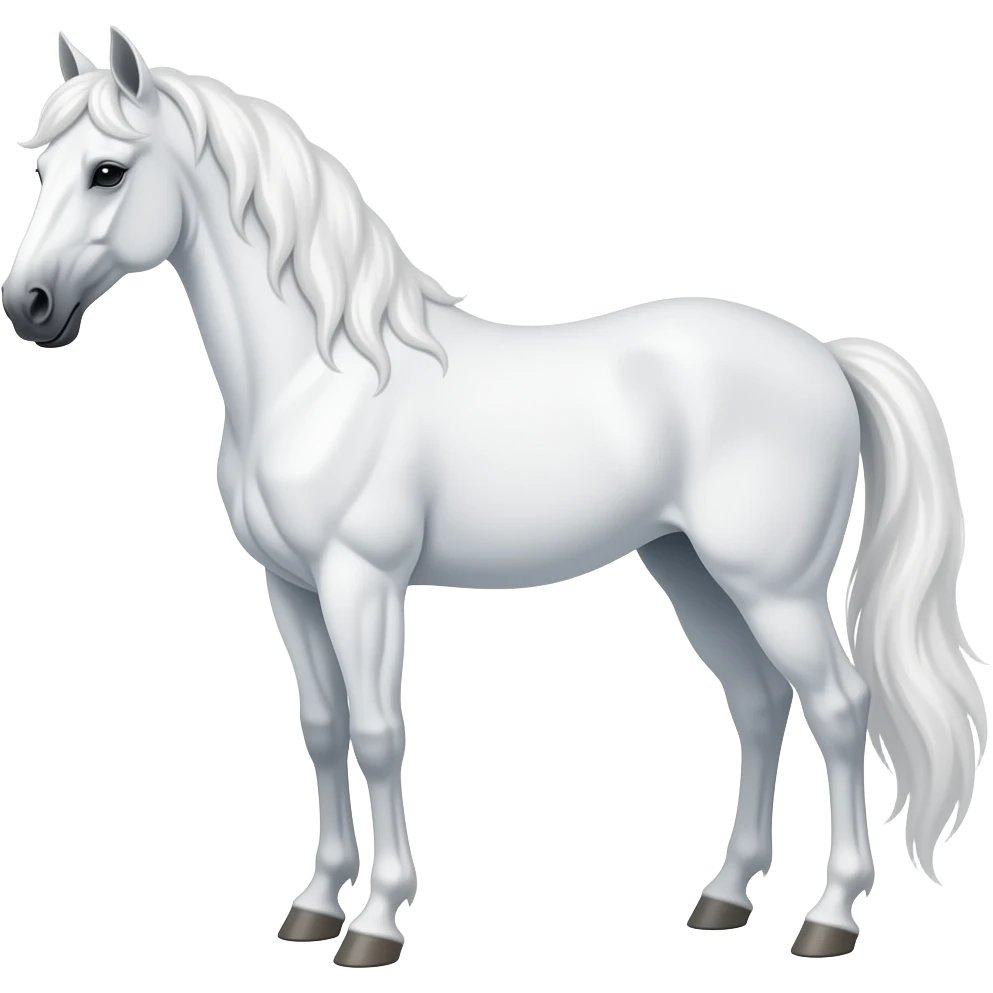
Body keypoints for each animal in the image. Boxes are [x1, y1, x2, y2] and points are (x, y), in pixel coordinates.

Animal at [4, 26, 988, 966]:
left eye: (107, 170)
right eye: (42, 168)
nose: (29, 305)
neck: (320, 378)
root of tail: (825, 354)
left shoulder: (362, 583)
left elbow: (379, 732)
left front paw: (376, 923)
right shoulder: (290, 588)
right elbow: (321, 728)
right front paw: (313, 907)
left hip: (772, 586)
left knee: (840, 707)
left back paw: (829, 916)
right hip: (691, 571)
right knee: (755, 702)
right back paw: (722, 897)